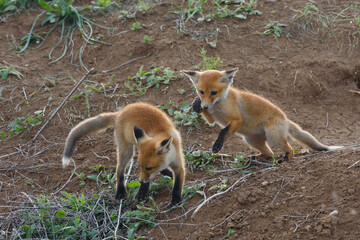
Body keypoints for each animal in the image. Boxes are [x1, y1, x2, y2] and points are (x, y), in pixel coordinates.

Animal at [183, 68, 340, 160]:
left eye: (214, 93)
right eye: (201, 92)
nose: (205, 105)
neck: (219, 104)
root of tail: (285, 118)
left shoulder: (237, 120)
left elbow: (223, 132)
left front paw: (217, 146)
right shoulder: (212, 118)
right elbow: (209, 119)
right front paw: (196, 104)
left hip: (273, 137)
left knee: (289, 149)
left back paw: (286, 159)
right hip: (251, 140)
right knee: (269, 154)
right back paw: (255, 159)